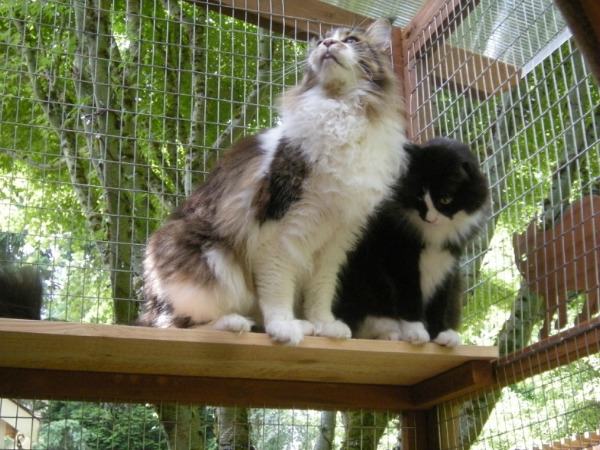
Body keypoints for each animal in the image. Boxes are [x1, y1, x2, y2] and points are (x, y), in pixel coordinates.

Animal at [139, 18, 408, 344]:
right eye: (318, 42)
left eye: (352, 40)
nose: (327, 44)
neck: (339, 109)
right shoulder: (279, 230)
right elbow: (278, 289)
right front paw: (284, 327)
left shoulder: (335, 242)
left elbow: (321, 292)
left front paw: (324, 325)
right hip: (207, 261)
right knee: (177, 324)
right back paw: (235, 323)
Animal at [336, 137, 490, 348]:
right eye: (418, 196)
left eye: (445, 199)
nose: (430, 218)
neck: (435, 234)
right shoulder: (401, 258)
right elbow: (410, 297)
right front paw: (415, 332)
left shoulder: (448, 264)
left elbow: (439, 302)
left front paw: (440, 334)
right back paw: (390, 333)